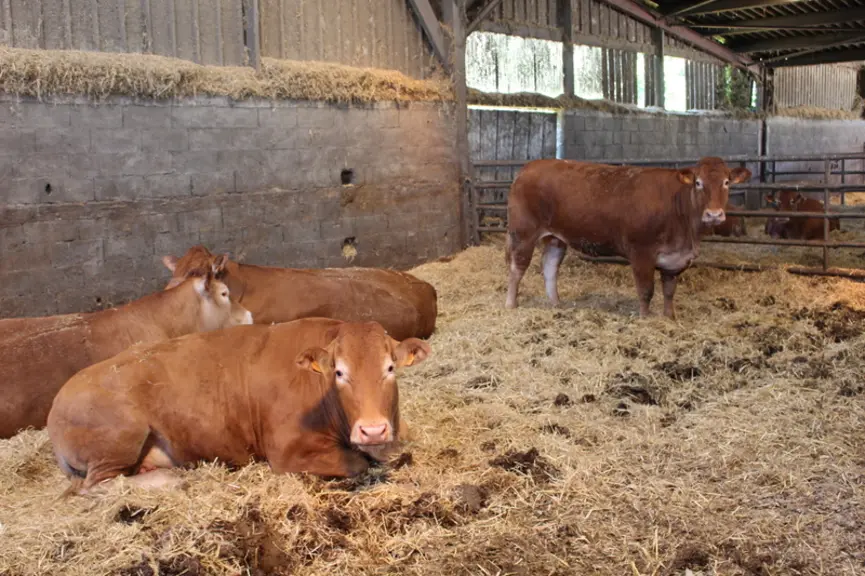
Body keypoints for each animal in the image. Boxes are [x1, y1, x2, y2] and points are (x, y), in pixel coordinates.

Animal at [47, 318, 430, 494]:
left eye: (390, 368)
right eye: (339, 372)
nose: (372, 429)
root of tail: (57, 403)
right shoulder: (286, 454)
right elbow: (357, 463)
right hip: (120, 435)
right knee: (93, 486)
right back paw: (172, 479)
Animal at [505, 157, 752, 319]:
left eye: (726, 182)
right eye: (698, 183)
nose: (714, 214)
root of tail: (529, 167)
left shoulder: (674, 260)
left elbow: (669, 291)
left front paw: (669, 318)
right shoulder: (641, 252)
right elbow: (646, 291)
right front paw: (644, 319)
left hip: (556, 238)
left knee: (550, 267)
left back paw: (556, 303)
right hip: (523, 233)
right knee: (517, 268)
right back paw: (511, 304)